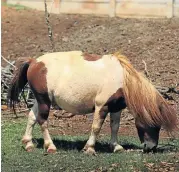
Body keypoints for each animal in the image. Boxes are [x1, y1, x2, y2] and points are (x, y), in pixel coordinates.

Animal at [7, 51, 177, 155]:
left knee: (32, 117)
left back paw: (28, 144)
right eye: (154, 123)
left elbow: (115, 126)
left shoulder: (116, 108)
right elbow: (96, 127)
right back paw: (50, 146)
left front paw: (116, 147)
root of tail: (34, 61)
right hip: (44, 101)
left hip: (41, 100)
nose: (151, 147)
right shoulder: (102, 106)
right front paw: (89, 148)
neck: (122, 78)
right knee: (42, 121)